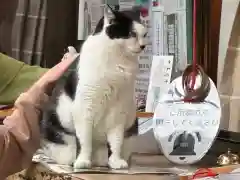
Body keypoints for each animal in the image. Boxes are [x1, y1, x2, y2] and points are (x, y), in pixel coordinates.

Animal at [40, 4, 147, 169]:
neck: (117, 61)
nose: (143, 46)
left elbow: (116, 142)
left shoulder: (118, 112)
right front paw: (82, 161)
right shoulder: (84, 108)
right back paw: (76, 161)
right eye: (131, 34)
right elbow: (84, 141)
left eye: (144, 34)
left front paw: (116, 161)